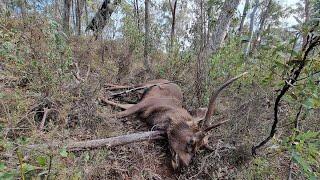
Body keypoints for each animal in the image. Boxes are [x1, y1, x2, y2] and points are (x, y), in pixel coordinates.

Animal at [104, 72, 246, 169]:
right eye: (191, 142)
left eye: (198, 150)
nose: (184, 164)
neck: (163, 116)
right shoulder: (144, 104)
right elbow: (119, 113)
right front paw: (101, 108)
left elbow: (121, 108)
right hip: (147, 83)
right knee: (129, 84)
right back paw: (108, 85)